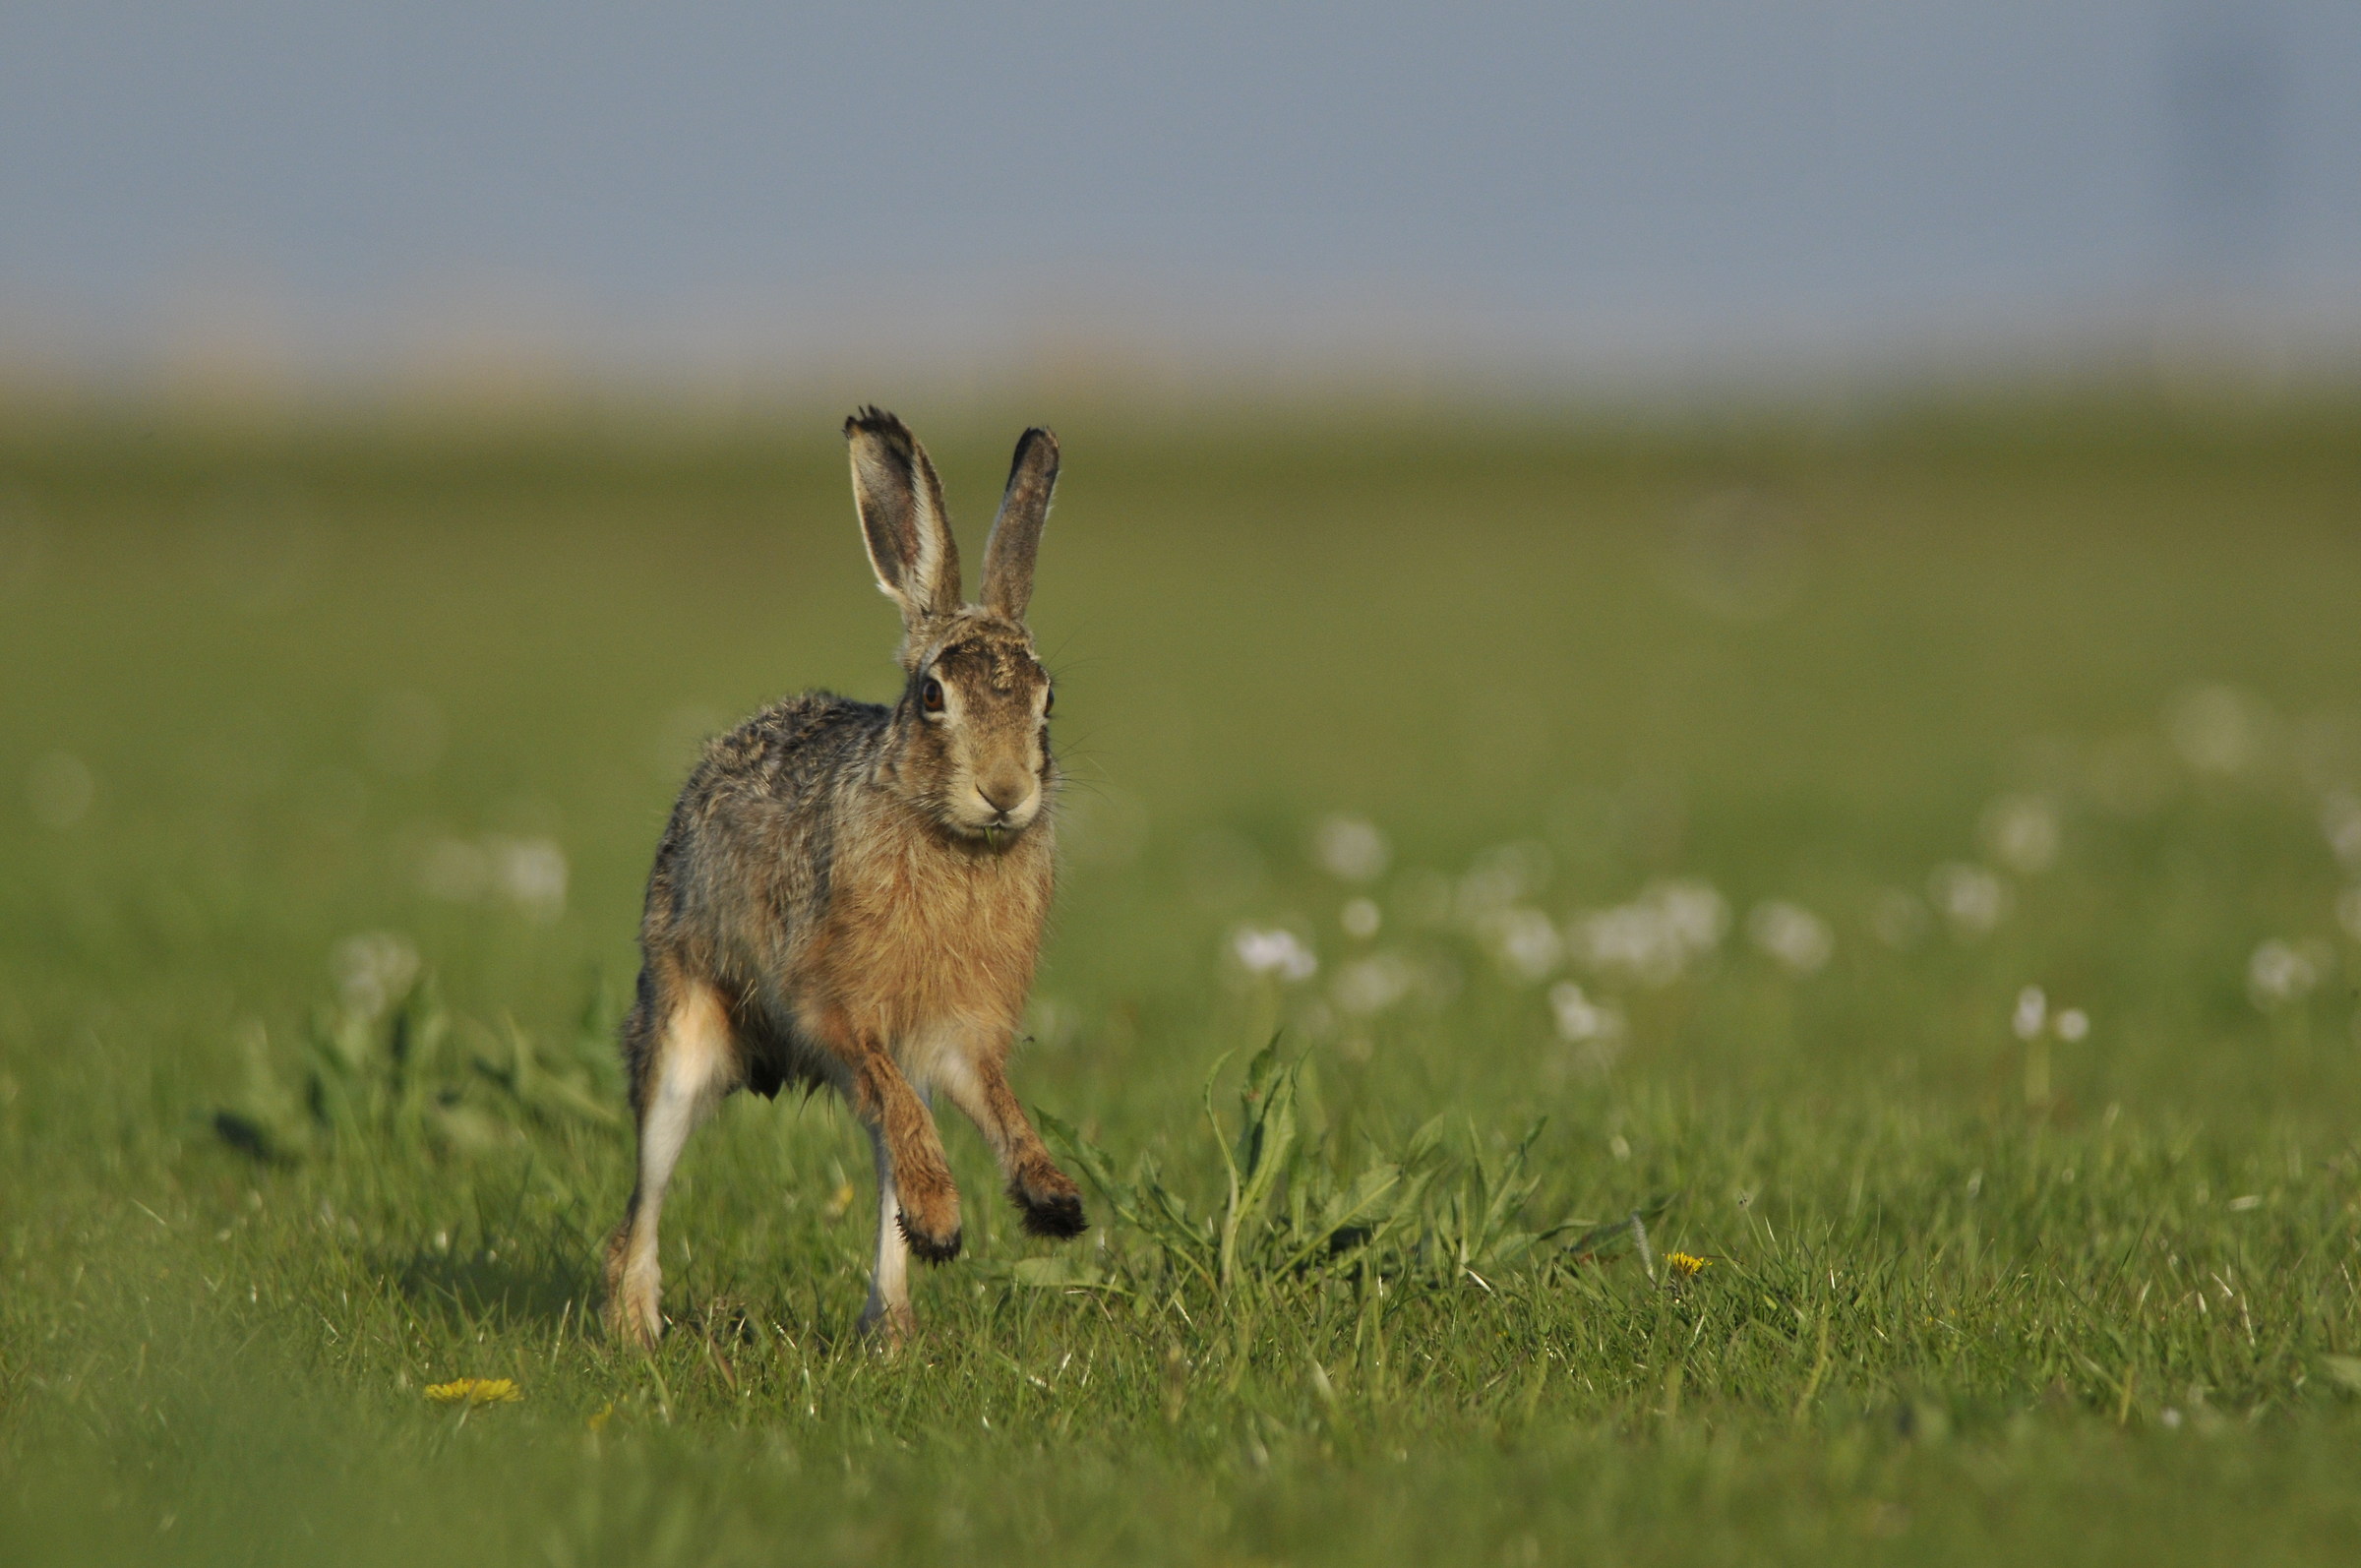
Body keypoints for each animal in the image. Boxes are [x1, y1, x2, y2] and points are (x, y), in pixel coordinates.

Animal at [603, 408, 1086, 1347]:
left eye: (1047, 702)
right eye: (933, 696)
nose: (1006, 792)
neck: (948, 837)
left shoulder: (959, 1034)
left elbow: (995, 1101)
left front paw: (1053, 1198)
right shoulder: (835, 1004)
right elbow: (896, 1091)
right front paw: (951, 1215)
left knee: (890, 1154)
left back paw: (891, 1327)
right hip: (680, 1020)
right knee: (645, 1195)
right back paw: (638, 1329)